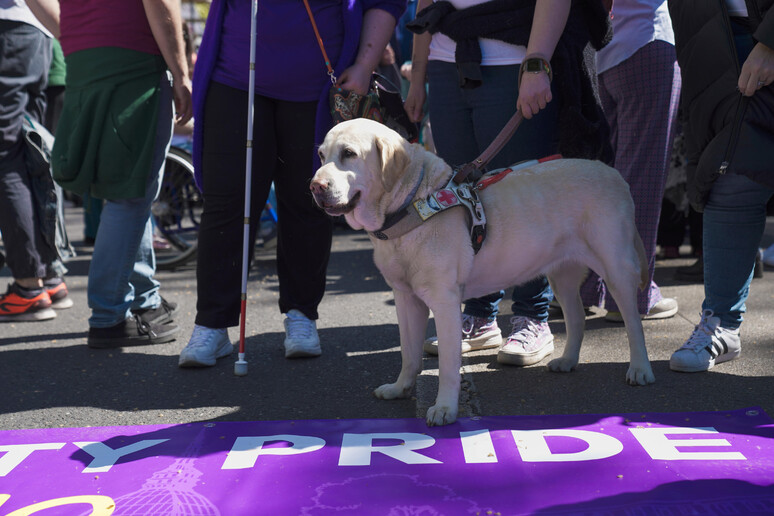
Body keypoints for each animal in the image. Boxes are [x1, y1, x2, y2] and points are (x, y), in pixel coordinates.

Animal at [310, 119, 656, 426]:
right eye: (322, 155)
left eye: (349, 154)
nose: (315, 186)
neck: (412, 205)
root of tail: (612, 172)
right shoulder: (406, 299)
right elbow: (408, 352)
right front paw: (400, 388)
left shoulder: (444, 301)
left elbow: (449, 365)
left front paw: (445, 408)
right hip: (562, 275)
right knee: (577, 317)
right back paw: (568, 360)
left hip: (615, 266)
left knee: (633, 322)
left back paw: (640, 368)